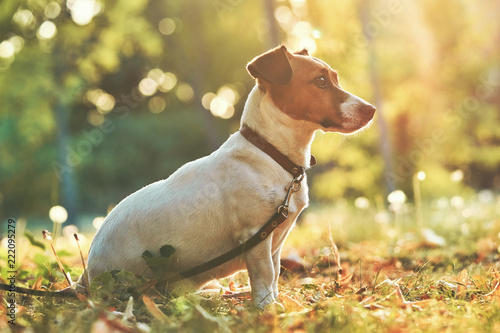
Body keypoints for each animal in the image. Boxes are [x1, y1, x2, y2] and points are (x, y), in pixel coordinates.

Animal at [82, 44, 376, 306]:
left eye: (334, 78)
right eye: (320, 81)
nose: (372, 110)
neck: (272, 155)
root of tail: (87, 278)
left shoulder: (275, 240)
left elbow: (275, 274)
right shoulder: (256, 235)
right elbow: (265, 275)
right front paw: (267, 308)